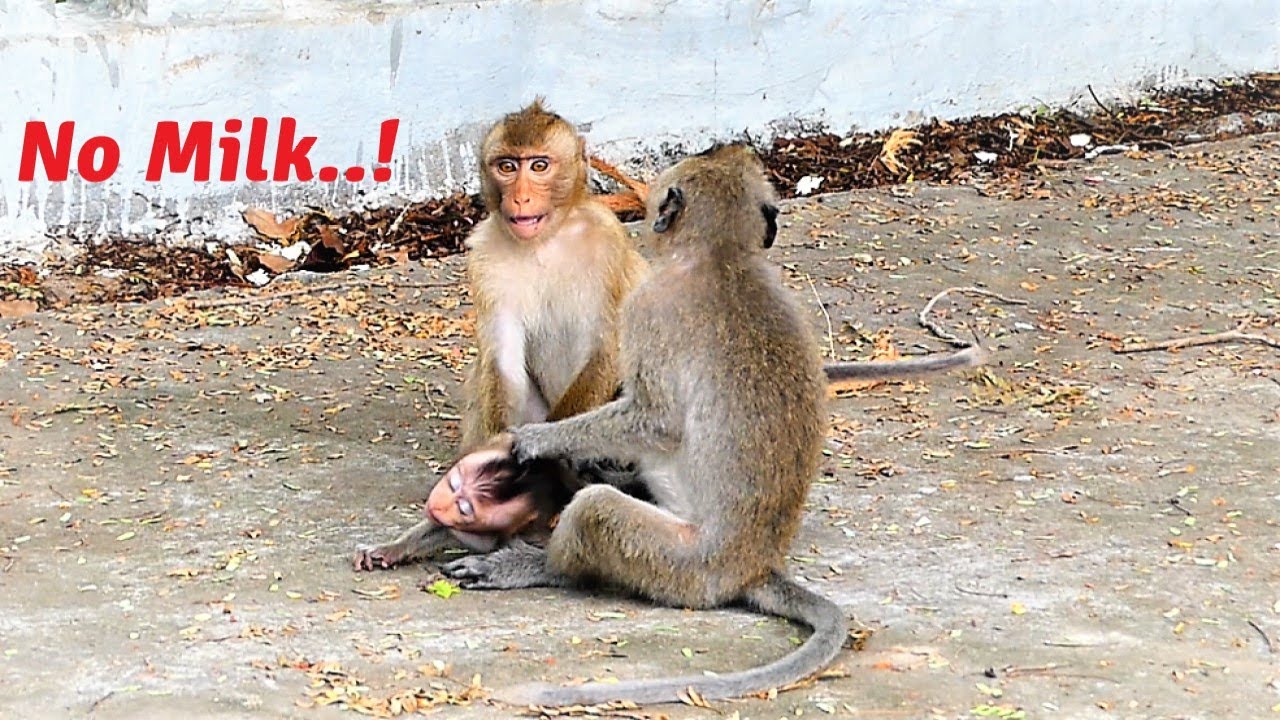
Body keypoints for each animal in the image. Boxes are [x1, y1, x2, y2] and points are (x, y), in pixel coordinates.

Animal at [353, 101, 649, 571]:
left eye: (539, 165)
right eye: (507, 166)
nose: (521, 196)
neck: (547, 237)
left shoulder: (608, 243)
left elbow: (607, 349)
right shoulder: (485, 252)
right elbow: (503, 361)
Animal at [440, 143, 849, 706]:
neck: (721, 255)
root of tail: (755, 563)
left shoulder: (649, 310)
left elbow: (655, 421)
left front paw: (535, 442)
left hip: (685, 564)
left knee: (598, 512)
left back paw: (542, 566)